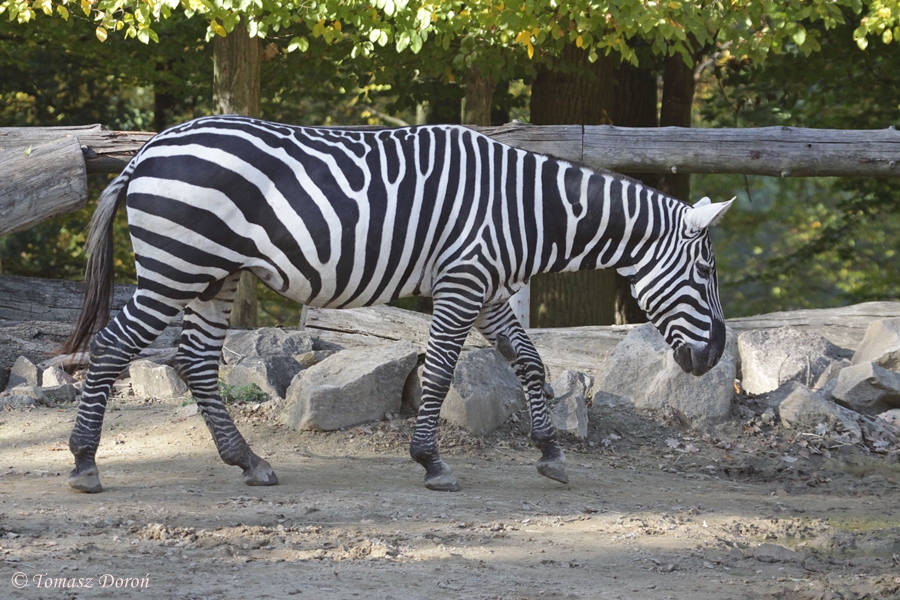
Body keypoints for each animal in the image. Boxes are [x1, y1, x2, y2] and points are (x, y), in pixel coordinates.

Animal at [62, 115, 733, 494]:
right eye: (706, 270)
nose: (713, 357)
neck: (528, 210)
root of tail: (149, 148)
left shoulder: (488, 289)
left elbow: (530, 361)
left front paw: (550, 454)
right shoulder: (463, 281)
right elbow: (438, 371)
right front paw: (431, 461)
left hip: (215, 275)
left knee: (197, 360)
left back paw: (248, 461)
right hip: (178, 265)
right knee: (114, 345)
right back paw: (85, 462)